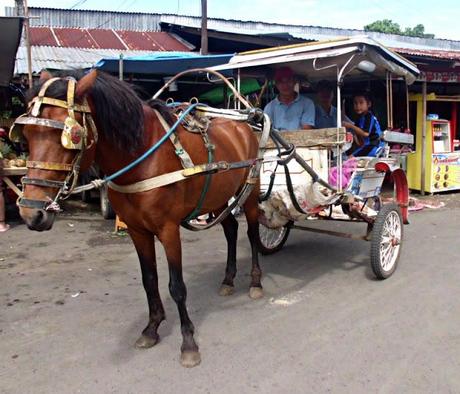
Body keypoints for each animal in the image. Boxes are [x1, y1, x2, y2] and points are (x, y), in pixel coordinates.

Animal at [17, 69, 262, 368]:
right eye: (26, 134)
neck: (143, 157)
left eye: (72, 134)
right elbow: (149, 280)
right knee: (231, 229)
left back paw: (255, 282)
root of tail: (242, 126)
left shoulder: (168, 229)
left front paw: (188, 342)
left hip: (250, 192)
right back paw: (228, 280)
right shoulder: (136, 230)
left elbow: (176, 286)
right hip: (217, 197)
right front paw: (152, 328)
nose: (32, 213)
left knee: (252, 232)